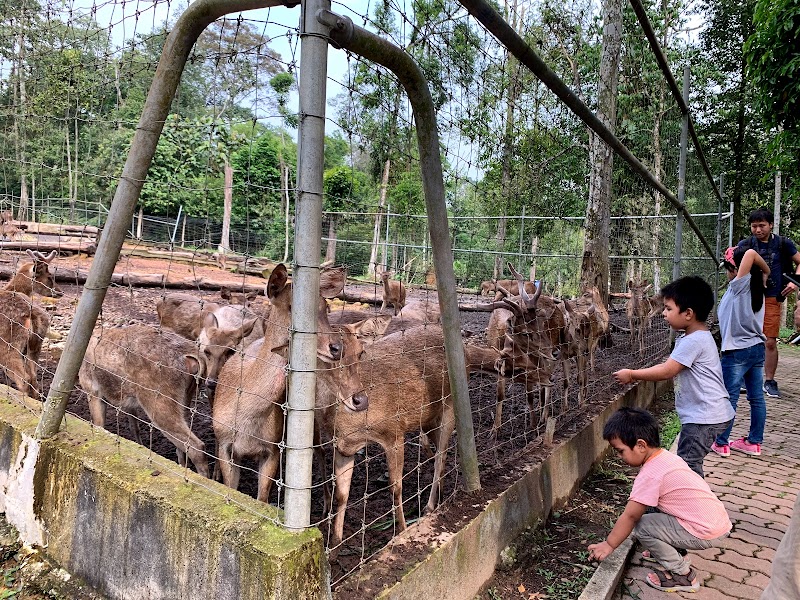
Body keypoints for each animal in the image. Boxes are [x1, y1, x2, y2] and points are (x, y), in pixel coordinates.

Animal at [0, 251, 62, 400]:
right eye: (49, 276)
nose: (60, 292)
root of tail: (30, 311)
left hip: (8, 345)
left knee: (24, 379)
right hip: (35, 344)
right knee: (33, 377)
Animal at [77, 326, 209, 476]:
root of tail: (194, 356)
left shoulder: (92, 389)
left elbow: (98, 425)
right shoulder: (128, 402)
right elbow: (134, 428)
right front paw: (139, 446)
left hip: (158, 400)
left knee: (197, 447)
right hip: (185, 399)